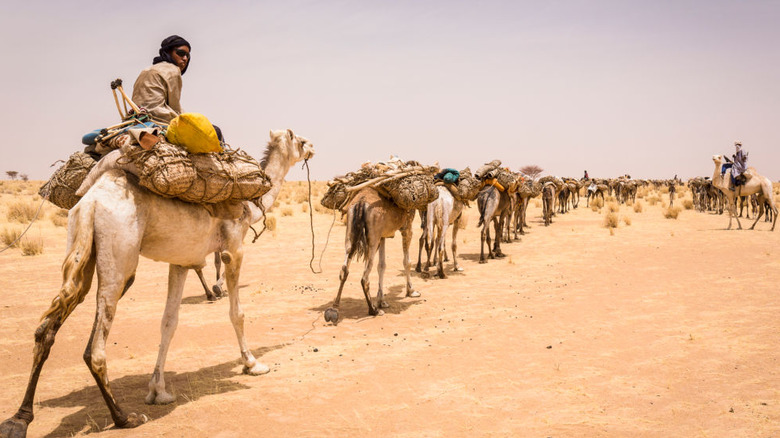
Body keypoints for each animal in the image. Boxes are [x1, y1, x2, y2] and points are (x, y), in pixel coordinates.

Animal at [3, 128, 314, 436]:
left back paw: (20, 418)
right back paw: (124, 418)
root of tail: (91, 203)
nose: (312, 148)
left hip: (80, 247)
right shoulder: (233, 248)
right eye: (299, 140)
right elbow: (236, 313)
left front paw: (158, 391)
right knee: (96, 348)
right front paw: (252, 363)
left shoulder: (181, 260)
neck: (251, 205)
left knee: (47, 327)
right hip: (120, 258)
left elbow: (169, 322)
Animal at [322, 186, 420, 324]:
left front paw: (382, 301)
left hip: (351, 234)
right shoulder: (407, 227)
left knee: (344, 269)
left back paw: (333, 310)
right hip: (373, 239)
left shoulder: (383, 236)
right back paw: (373, 310)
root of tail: (361, 203)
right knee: (364, 277)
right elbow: (407, 262)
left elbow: (382, 266)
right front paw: (411, 291)